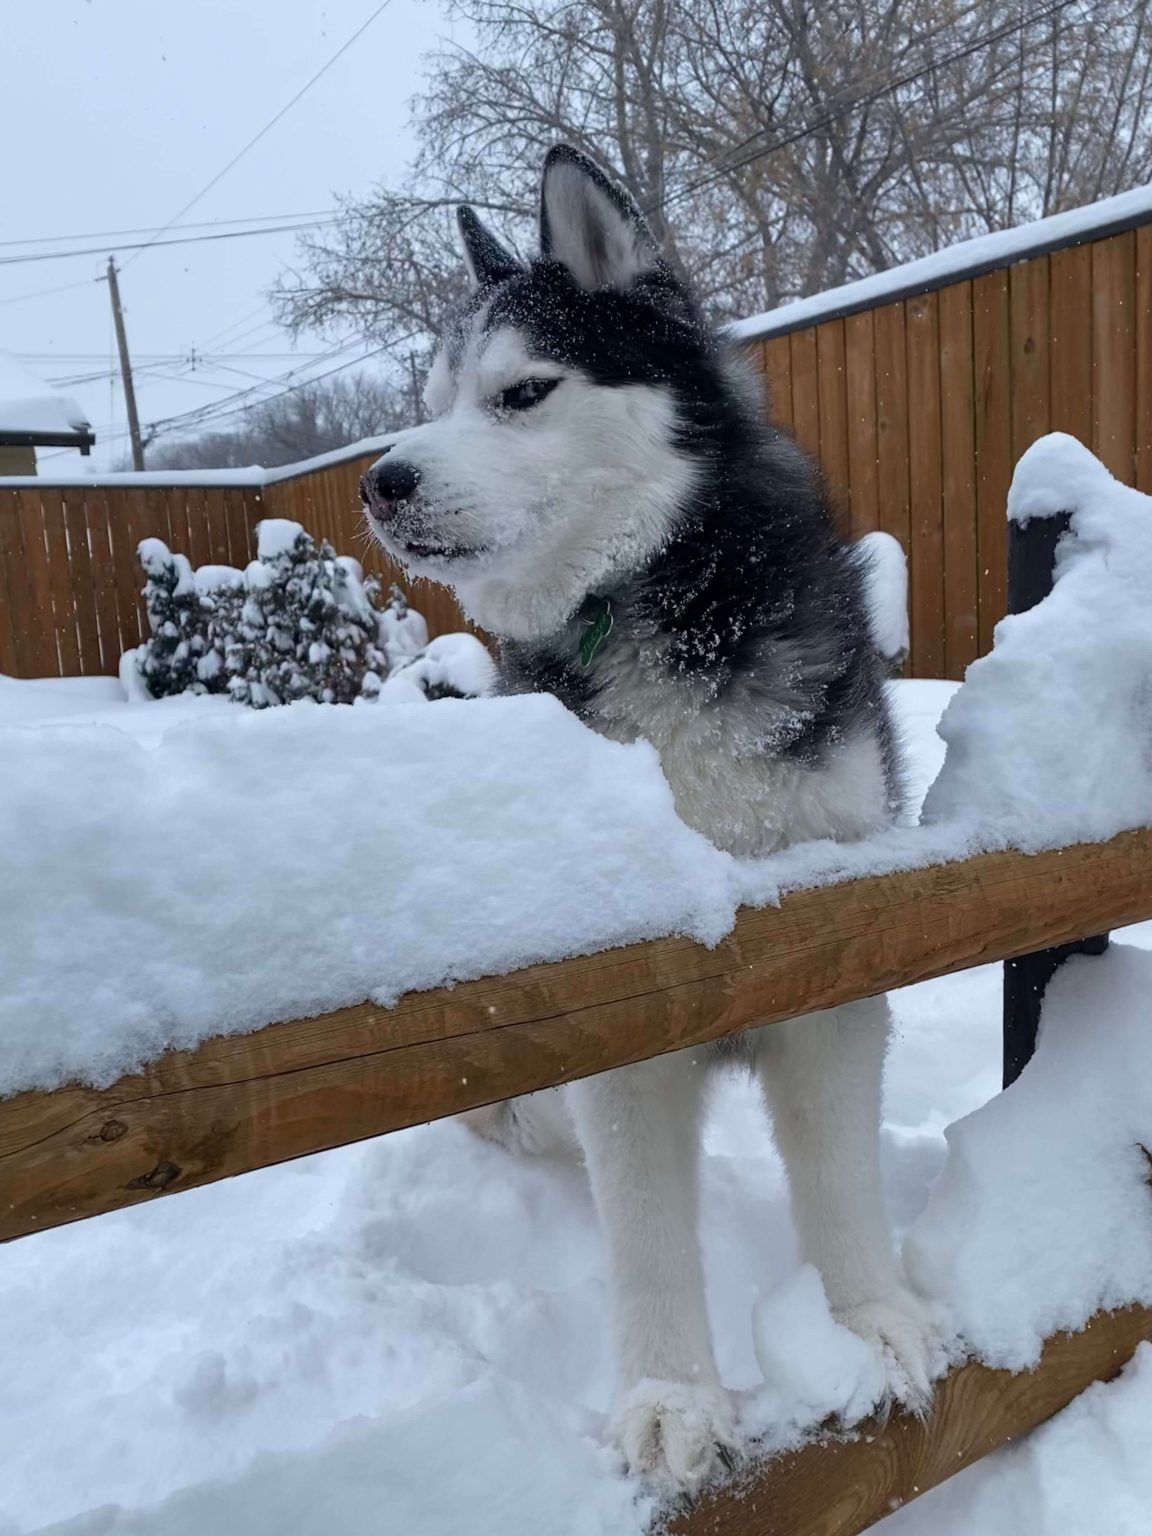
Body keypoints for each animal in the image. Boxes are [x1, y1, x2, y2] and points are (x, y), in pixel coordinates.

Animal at [365, 149, 940, 1492]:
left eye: (520, 393)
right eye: (431, 400)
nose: (380, 479)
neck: (648, 597)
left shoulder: (839, 947)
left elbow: (841, 1179)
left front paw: (870, 1323)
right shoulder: (623, 998)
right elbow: (641, 1224)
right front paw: (674, 1400)